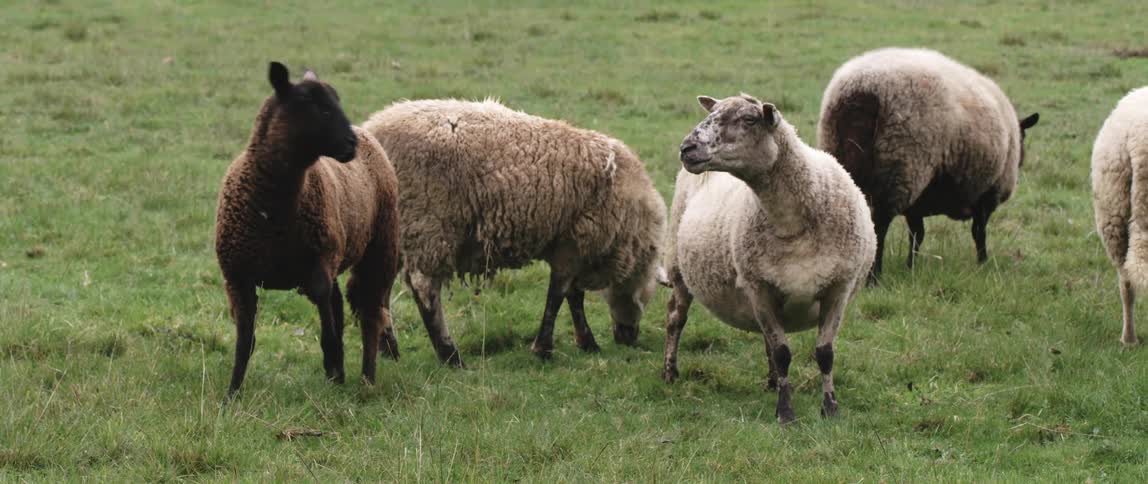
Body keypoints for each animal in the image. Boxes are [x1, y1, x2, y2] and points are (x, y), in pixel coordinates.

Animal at [215, 62, 401, 397]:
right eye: (313, 104)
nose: (350, 144)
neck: (272, 212)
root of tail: (367, 133)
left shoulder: (318, 264)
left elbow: (326, 316)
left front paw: (333, 362)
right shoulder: (237, 277)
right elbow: (245, 341)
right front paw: (232, 393)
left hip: (381, 246)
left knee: (370, 315)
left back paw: (366, 380)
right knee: (341, 304)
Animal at [362, 99, 665, 366]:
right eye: (645, 295)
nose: (629, 338)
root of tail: (373, 131)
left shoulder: (568, 245)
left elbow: (572, 296)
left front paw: (586, 342)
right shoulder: (573, 244)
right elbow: (559, 295)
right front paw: (544, 349)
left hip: (396, 231)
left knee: (382, 289)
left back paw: (389, 349)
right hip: (427, 224)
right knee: (425, 288)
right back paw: (450, 356)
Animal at [664, 94, 876, 424]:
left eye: (749, 120)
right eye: (712, 113)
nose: (687, 148)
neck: (791, 223)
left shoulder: (838, 287)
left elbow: (825, 353)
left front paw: (830, 408)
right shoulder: (759, 287)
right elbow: (783, 353)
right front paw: (786, 412)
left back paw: (772, 381)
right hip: (678, 266)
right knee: (675, 317)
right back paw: (670, 371)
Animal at [817, 47, 1039, 280]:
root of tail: (862, 90)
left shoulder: (918, 202)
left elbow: (917, 235)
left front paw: (911, 267)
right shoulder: (986, 193)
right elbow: (979, 233)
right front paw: (983, 263)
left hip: (855, 163)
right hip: (902, 168)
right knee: (880, 224)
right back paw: (874, 276)